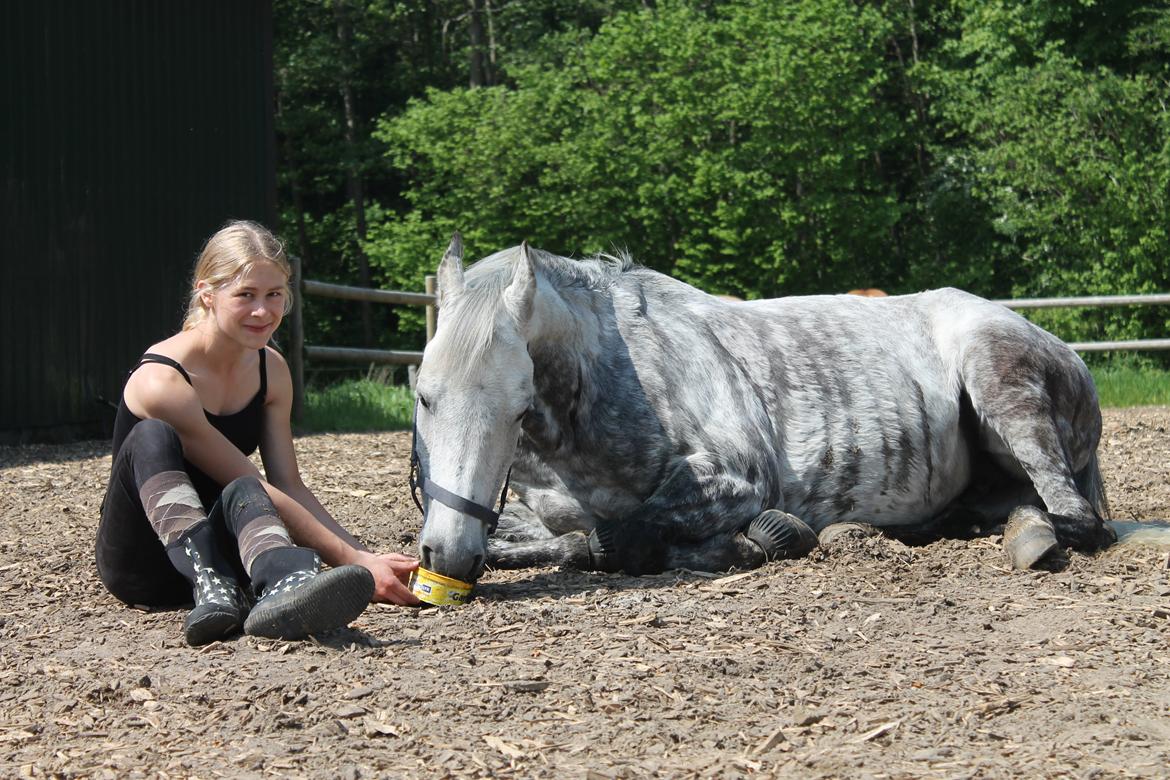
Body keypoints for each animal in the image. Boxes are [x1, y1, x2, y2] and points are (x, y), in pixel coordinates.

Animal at [411, 235, 1113, 582]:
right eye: (424, 397)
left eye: (516, 407)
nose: (448, 558)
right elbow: (549, 538)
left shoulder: (739, 478)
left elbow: (624, 534)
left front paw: (751, 543)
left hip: (1001, 383)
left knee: (1076, 518)